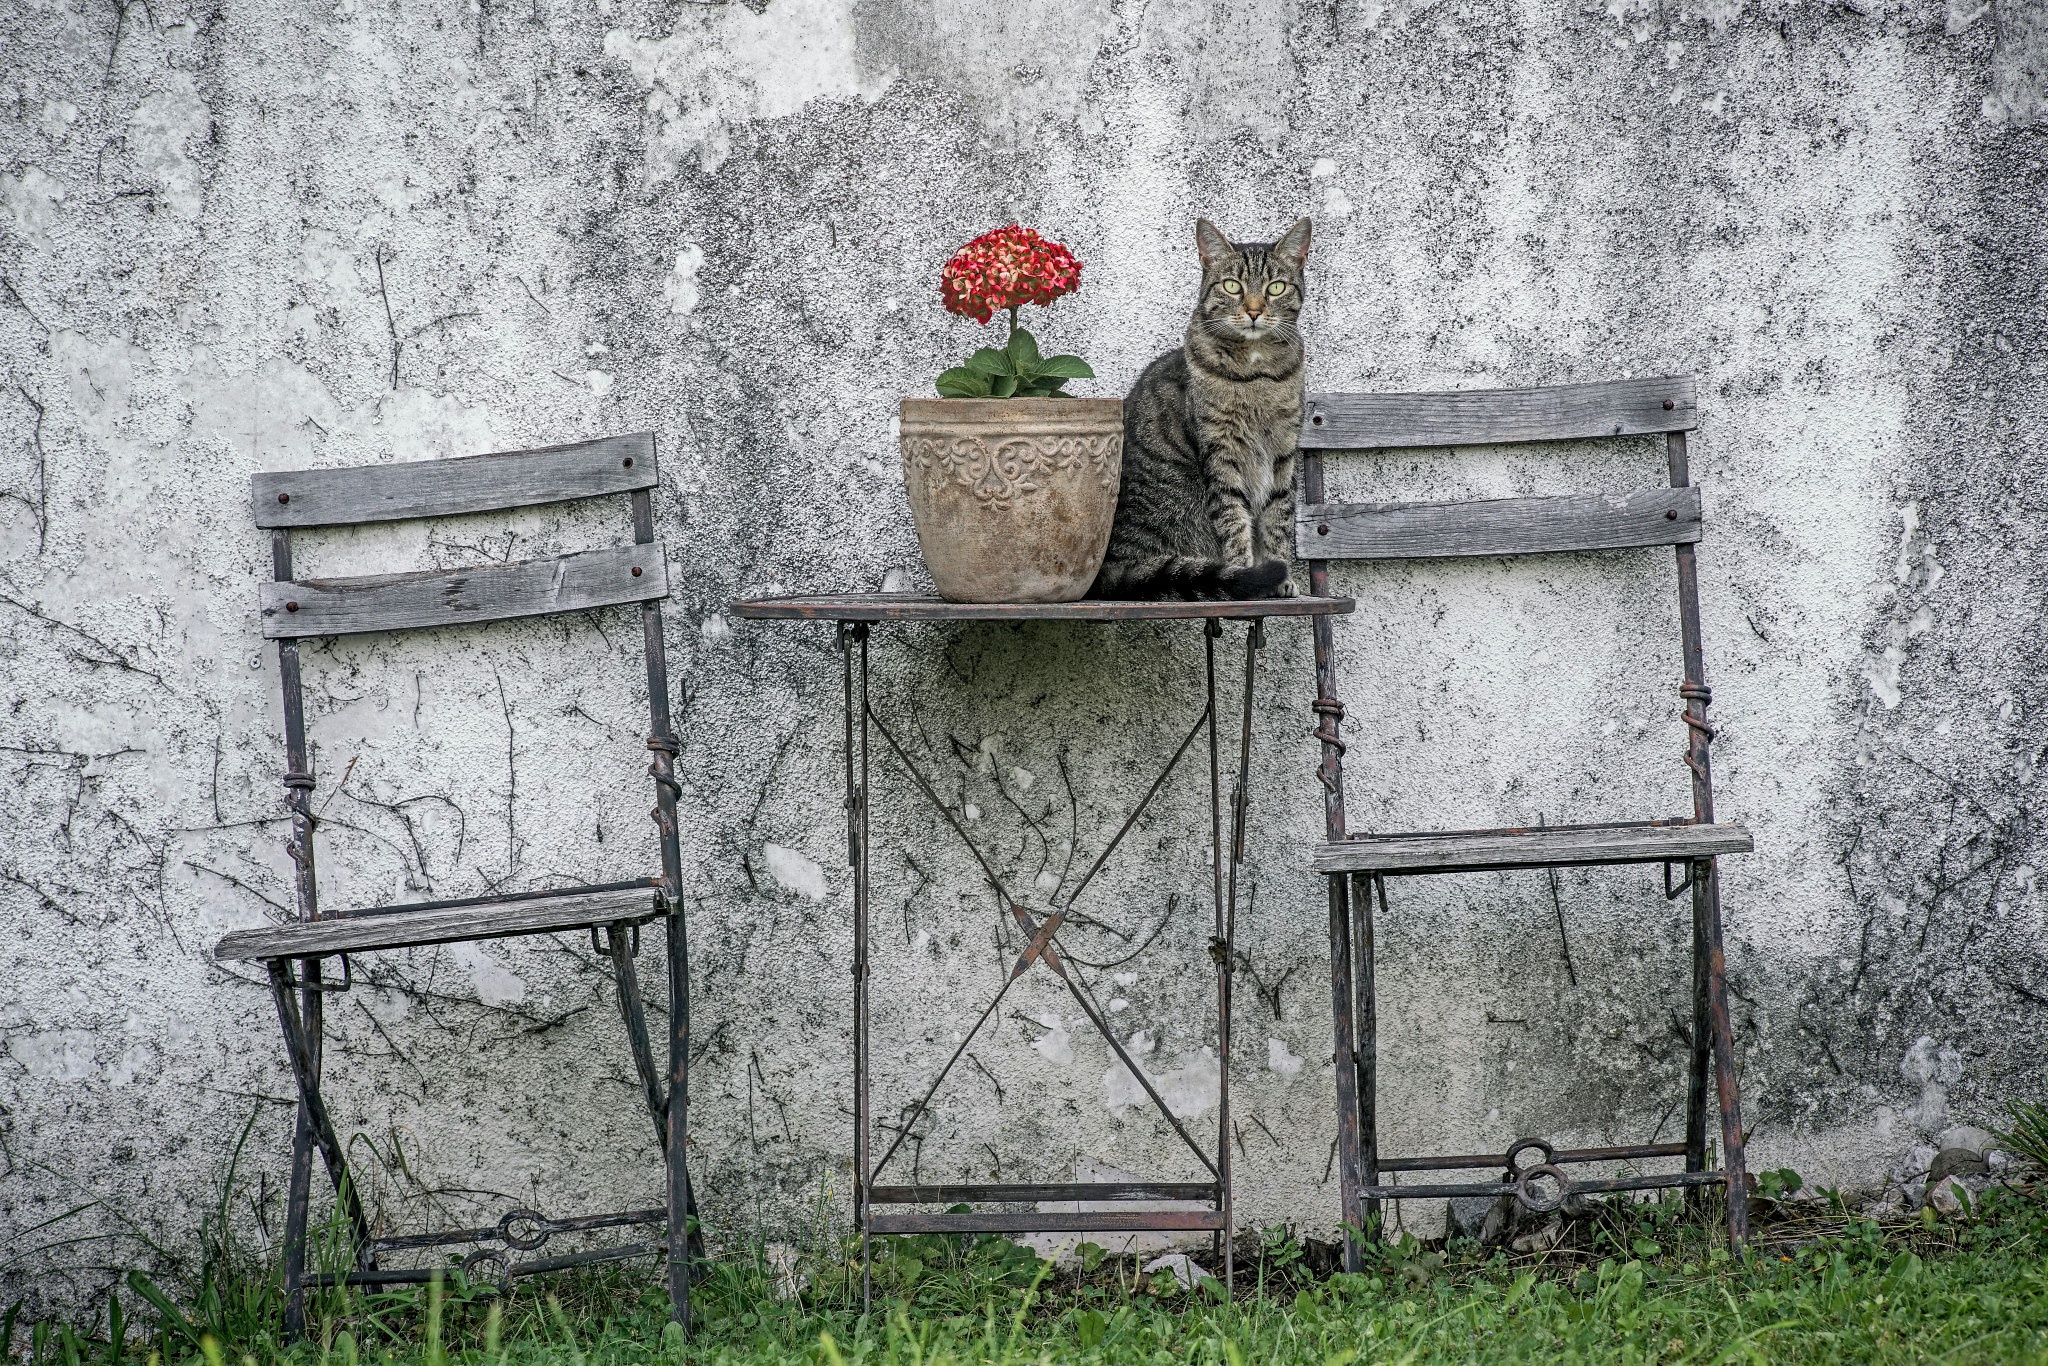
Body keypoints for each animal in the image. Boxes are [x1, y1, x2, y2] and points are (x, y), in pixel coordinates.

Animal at [1089, 218, 1310, 598]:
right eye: (1232, 286)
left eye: (1276, 287)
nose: (1254, 311)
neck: (1257, 372)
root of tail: (1111, 568)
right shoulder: (1221, 449)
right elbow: (1233, 516)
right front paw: (1244, 570)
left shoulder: (1284, 450)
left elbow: (1278, 517)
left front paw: (1282, 576)